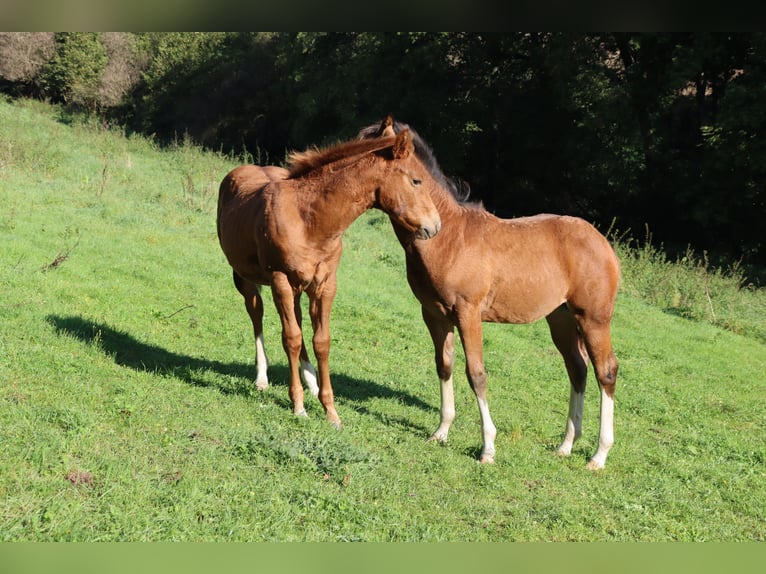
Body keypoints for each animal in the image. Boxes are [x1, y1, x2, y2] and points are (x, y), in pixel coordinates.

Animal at [217, 129, 442, 428]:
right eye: (416, 180)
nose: (435, 226)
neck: (309, 220)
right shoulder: (280, 280)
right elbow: (290, 338)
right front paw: (298, 405)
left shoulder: (325, 285)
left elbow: (320, 341)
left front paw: (330, 411)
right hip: (245, 277)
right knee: (257, 314)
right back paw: (262, 378)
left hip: (298, 288)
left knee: (297, 322)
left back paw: (311, 381)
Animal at [359, 117, 620, 469]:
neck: (448, 238)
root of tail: (603, 244)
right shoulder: (434, 315)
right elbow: (444, 365)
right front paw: (441, 432)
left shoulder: (468, 313)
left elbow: (476, 374)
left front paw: (488, 448)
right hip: (562, 319)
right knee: (577, 369)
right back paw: (566, 445)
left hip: (593, 318)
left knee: (605, 371)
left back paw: (599, 455)